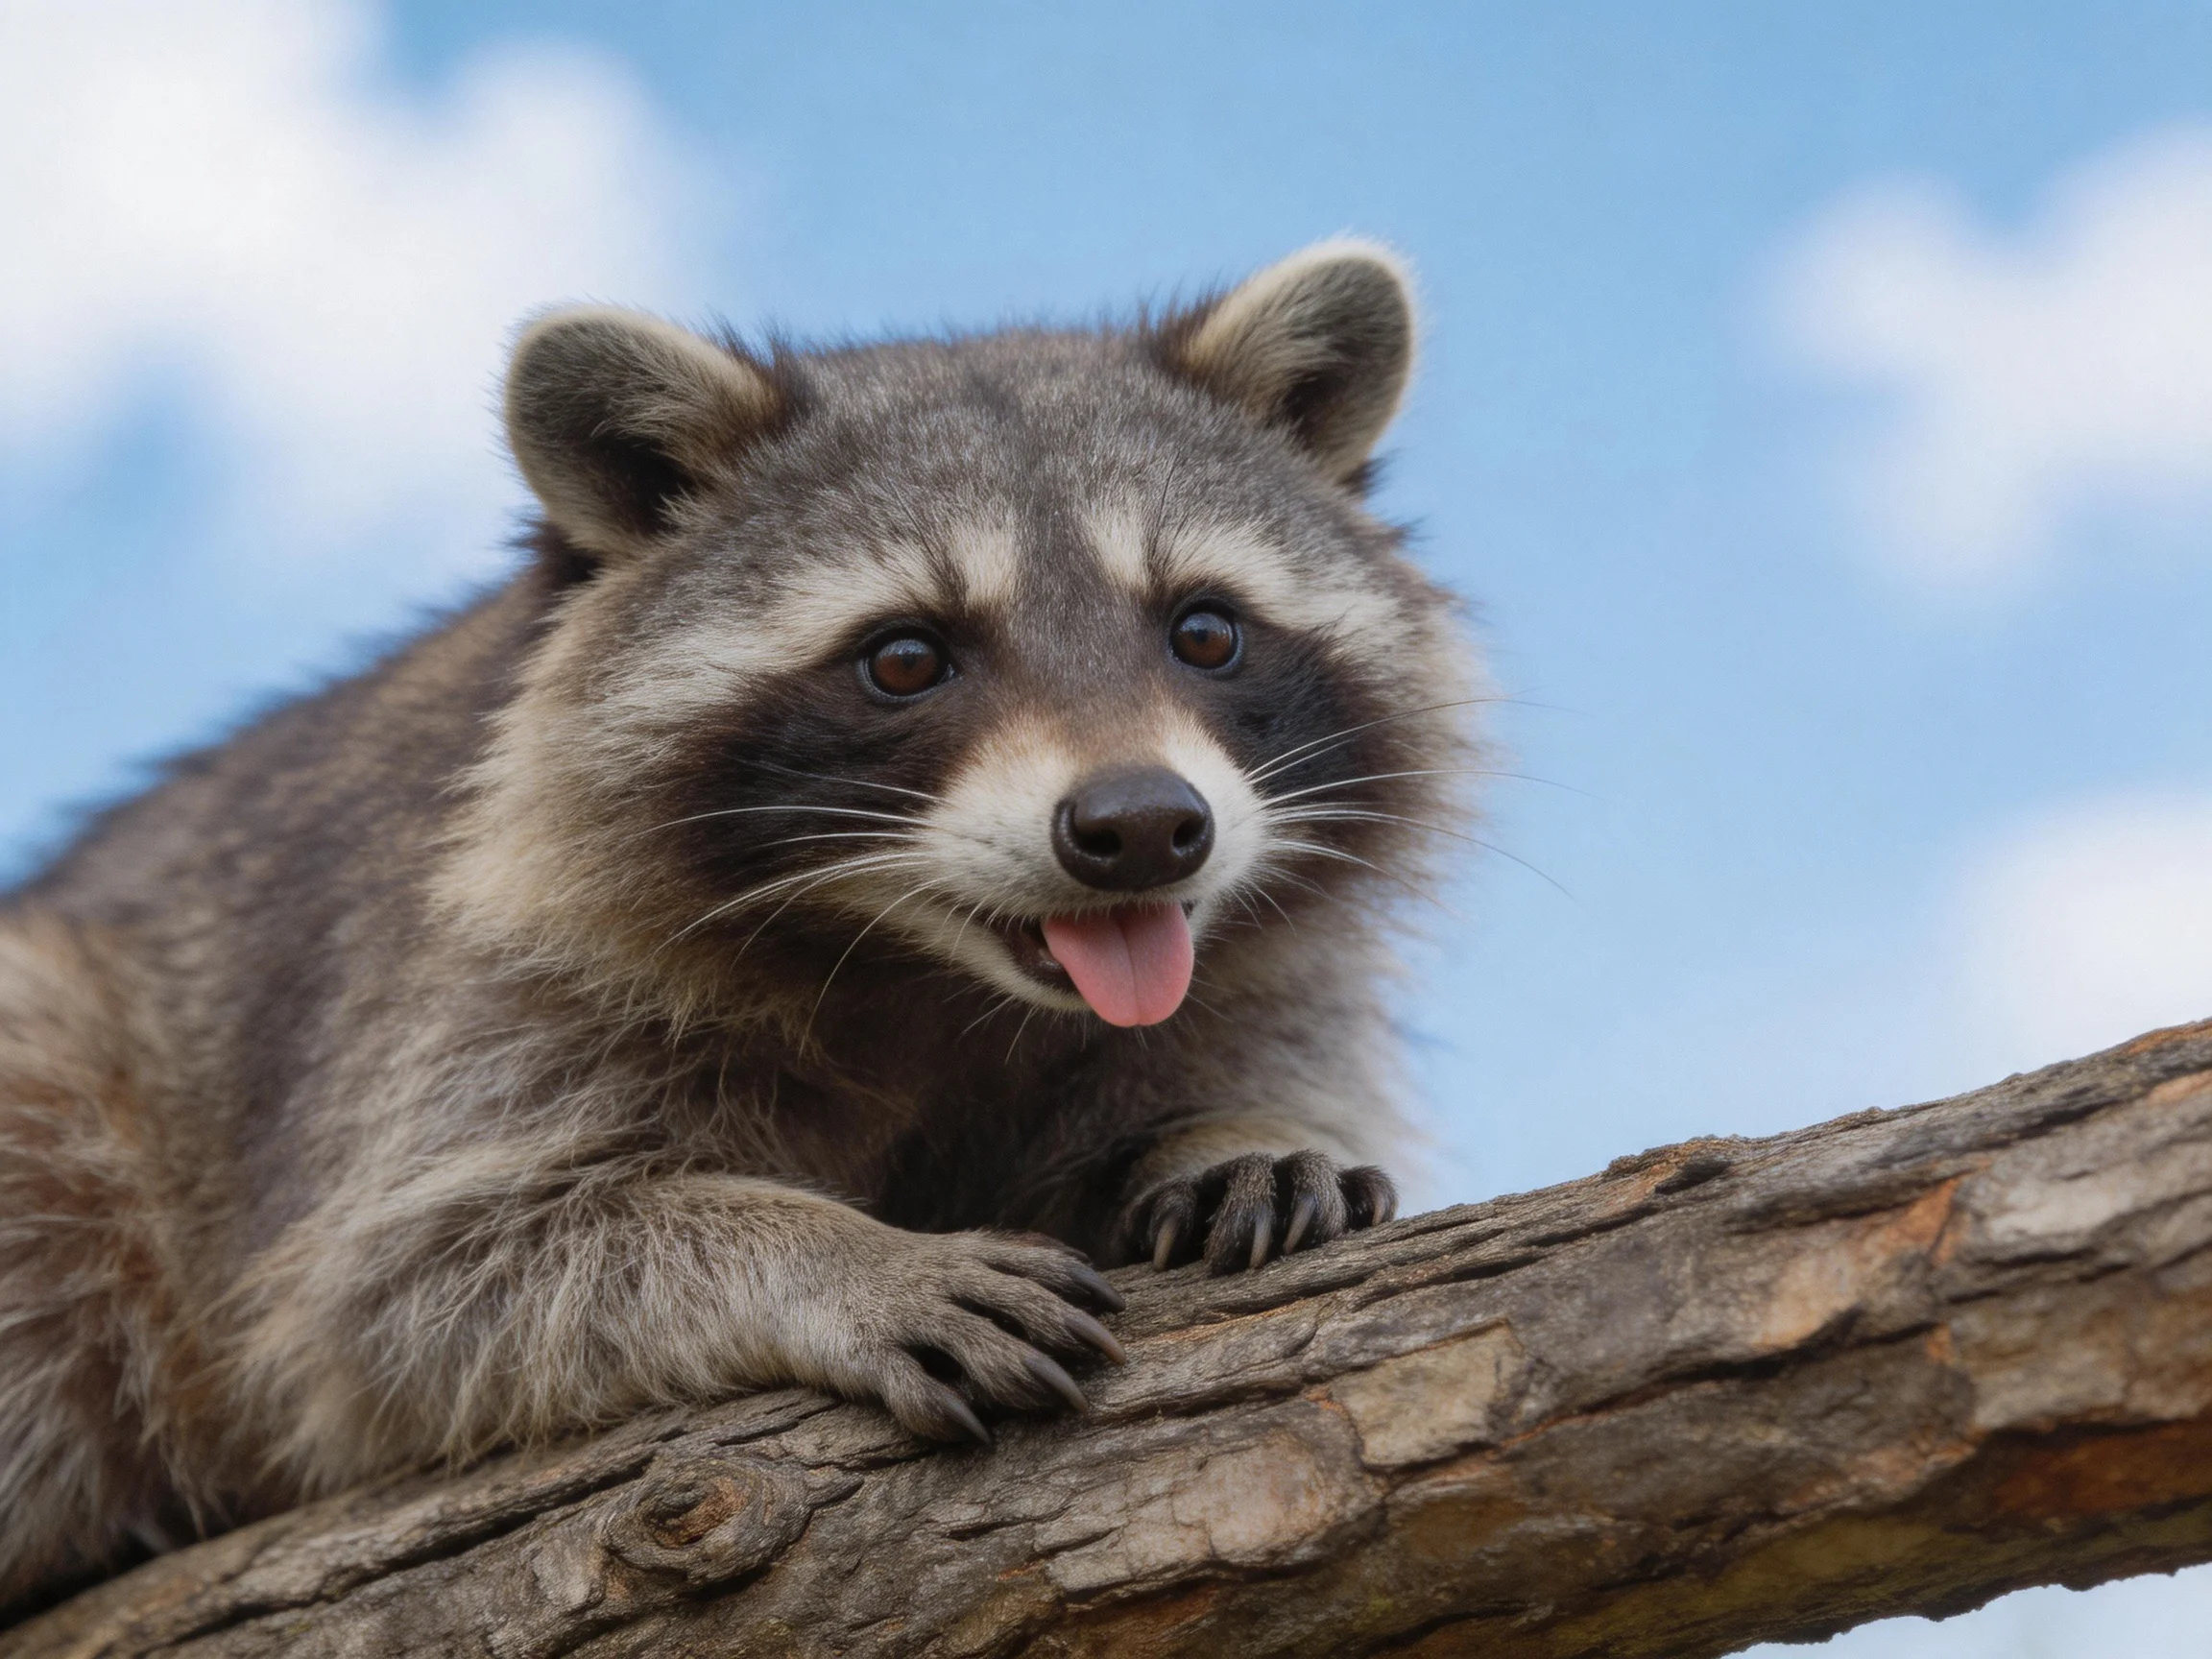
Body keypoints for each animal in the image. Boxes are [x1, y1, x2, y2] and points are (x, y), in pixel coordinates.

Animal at [0, 241, 1473, 1611]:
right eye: (905, 658)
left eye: (1206, 632)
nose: (1144, 829)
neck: (938, 973)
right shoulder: (459, 1005)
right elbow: (419, 1294)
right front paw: (839, 1261)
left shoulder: (1252, 971)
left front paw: (1227, 1133)